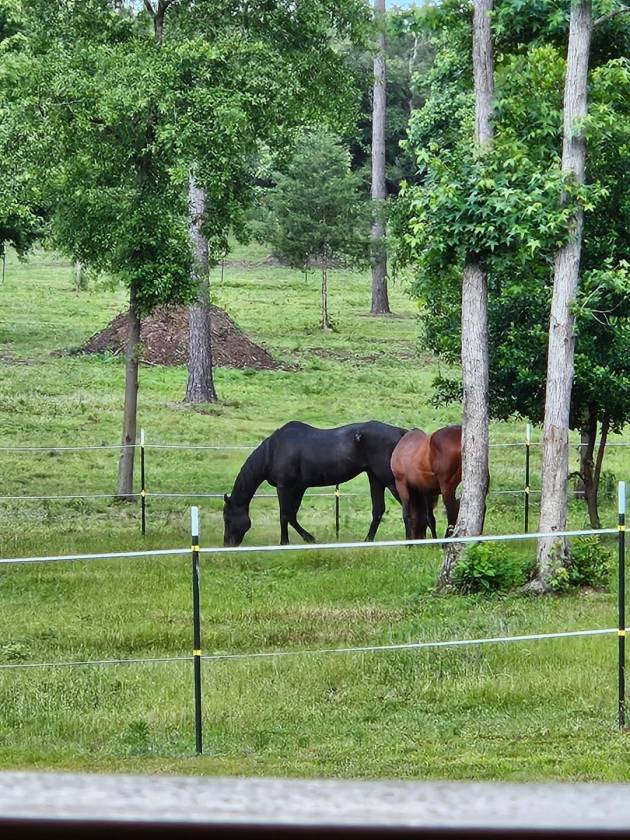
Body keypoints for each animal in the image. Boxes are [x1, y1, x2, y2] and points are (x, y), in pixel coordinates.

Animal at [223, 420, 408, 546]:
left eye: (228, 519)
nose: (227, 544)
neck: (273, 451)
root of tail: (400, 432)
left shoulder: (284, 487)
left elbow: (284, 515)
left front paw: (286, 543)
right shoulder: (298, 488)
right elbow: (291, 515)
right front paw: (309, 539)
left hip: (389, 480)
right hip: (375, 478)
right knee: (378, 510)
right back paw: (368, 541)